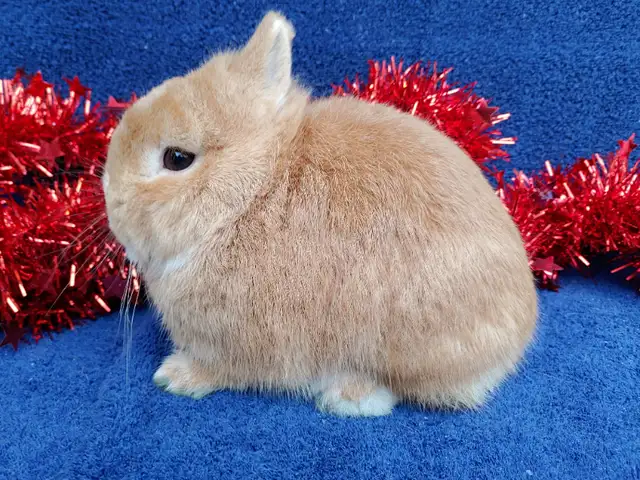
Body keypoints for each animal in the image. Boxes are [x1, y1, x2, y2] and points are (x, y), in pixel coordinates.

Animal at [102, 11, 538, 417]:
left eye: (177, 158)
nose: (110, 198)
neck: (249, 197)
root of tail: (517, 337)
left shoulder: (233, 344)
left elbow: (220, 370)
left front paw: (174, 376)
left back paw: (348, 398)